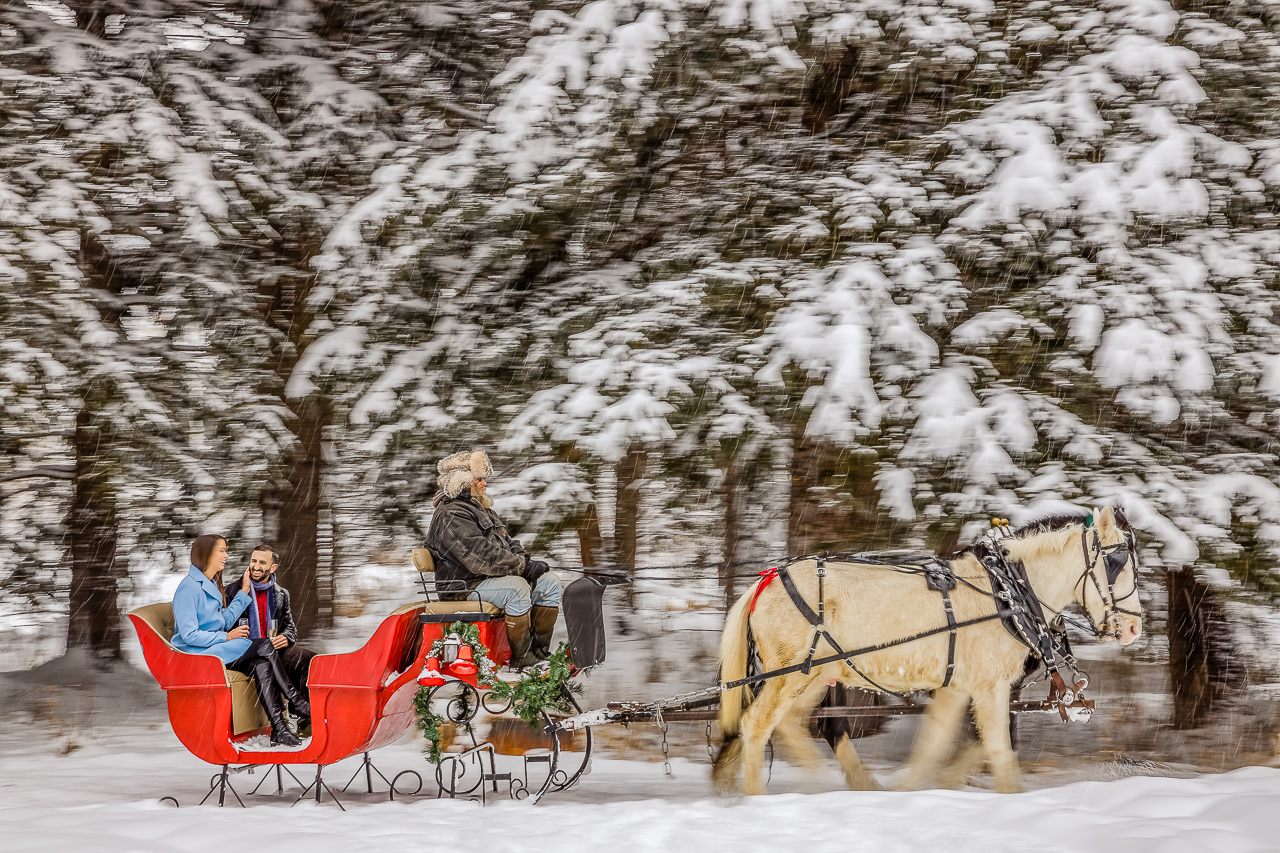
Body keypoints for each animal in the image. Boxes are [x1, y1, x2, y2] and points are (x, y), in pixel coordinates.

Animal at [716, 504, 1146, 788]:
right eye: (1119, 563)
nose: (1133, 629)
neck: (1006, 592)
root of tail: (765, 581)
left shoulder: (956, 688)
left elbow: (933, 747)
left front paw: (913, 790)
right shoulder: (990, 689)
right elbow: (999, 753)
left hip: (817, 674)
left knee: (794, 723)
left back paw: (840, 782)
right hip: (790, 675)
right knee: (757, 726)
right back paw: (756, 797)